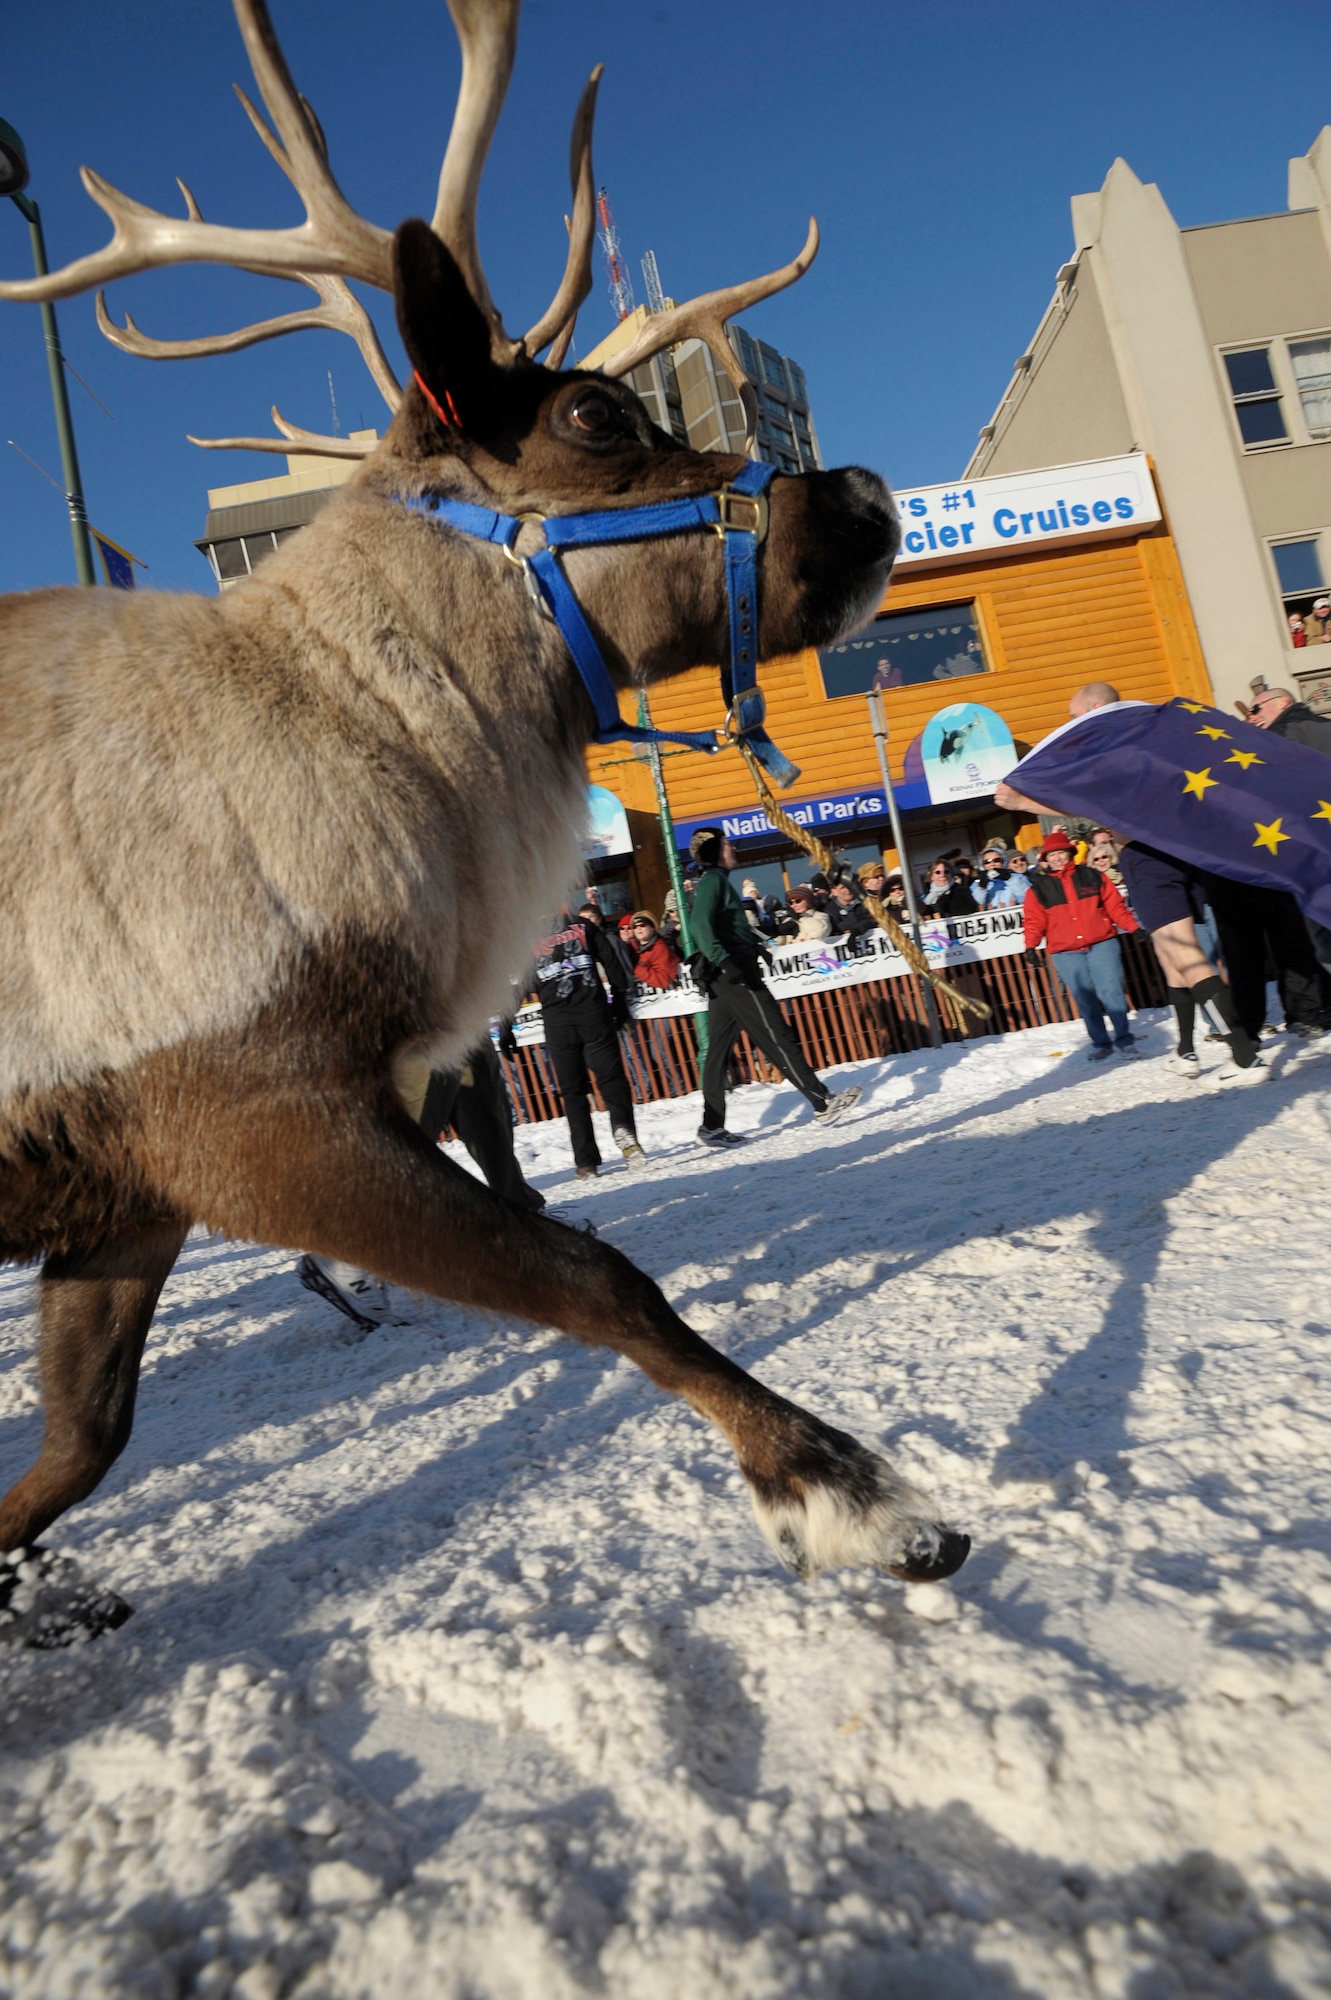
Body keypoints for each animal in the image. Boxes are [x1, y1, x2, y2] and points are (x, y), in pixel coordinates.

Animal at [0, 0, 969, 1638]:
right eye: (592, 412)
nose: (865, 490)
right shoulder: (255, 1113)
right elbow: (596, 1277)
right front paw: (850, 1494)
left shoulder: (122, 1187)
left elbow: (81, 1440)